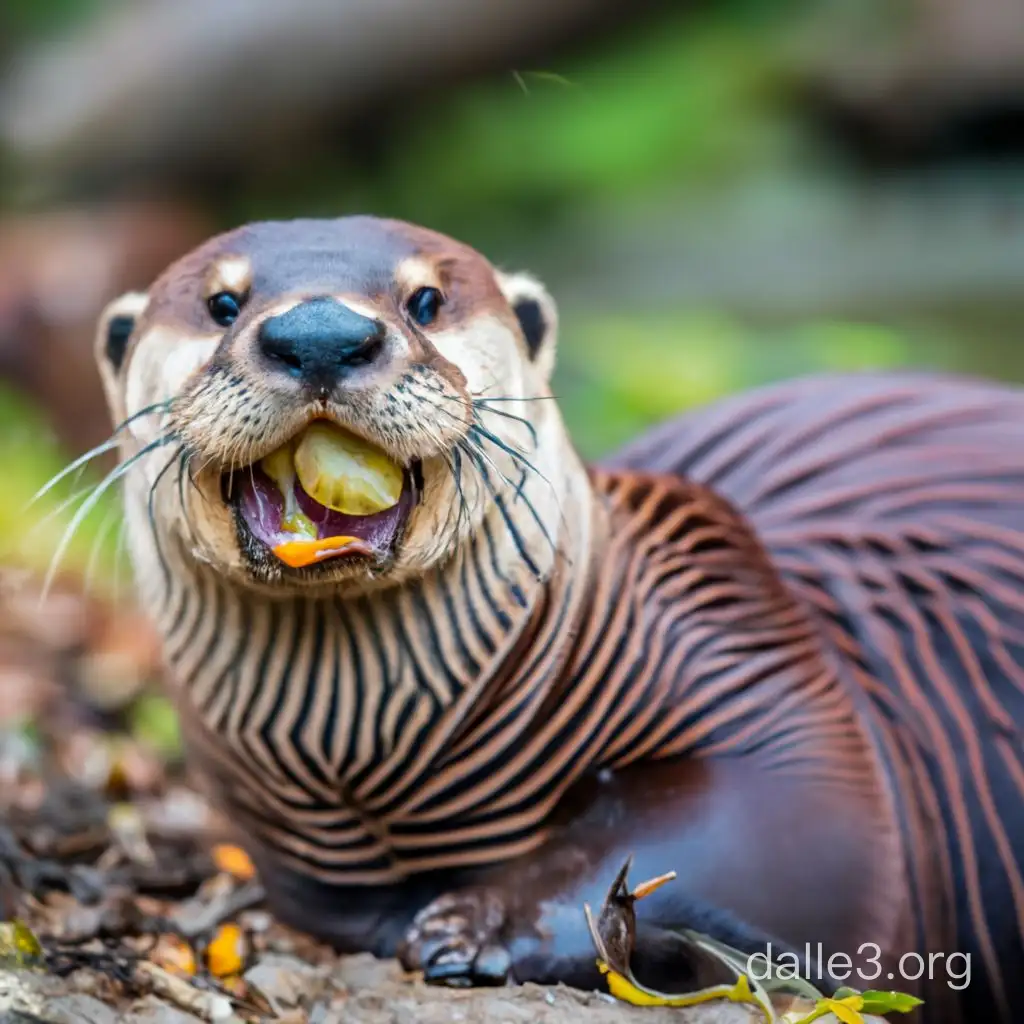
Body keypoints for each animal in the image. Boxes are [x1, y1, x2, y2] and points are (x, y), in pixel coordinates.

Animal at [89, 216, 1024, 1023]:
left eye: (425, 299)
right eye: (223, 303)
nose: (320, 334)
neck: (369, 766)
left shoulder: (754, 654)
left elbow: (765, 842)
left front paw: (480, 925)